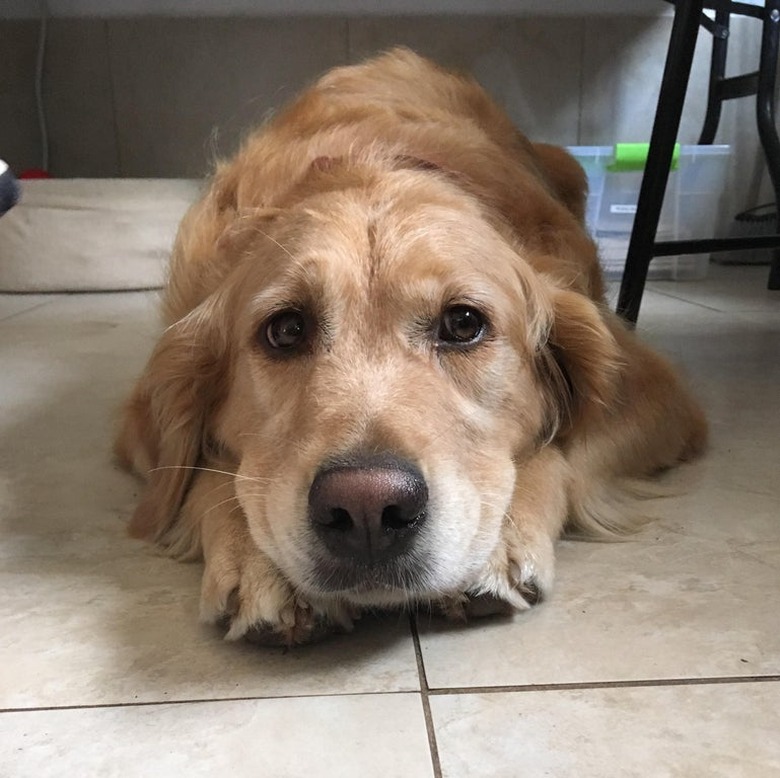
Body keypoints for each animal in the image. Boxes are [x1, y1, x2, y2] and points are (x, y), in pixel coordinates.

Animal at [114, 47, 708, 644]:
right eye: (286, 330)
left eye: (464, 323)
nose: (367, 507)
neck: (376, 164)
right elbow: (198, 476)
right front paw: (261, 566)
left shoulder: (662, 400)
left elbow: (564, 451)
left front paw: (503, 536)